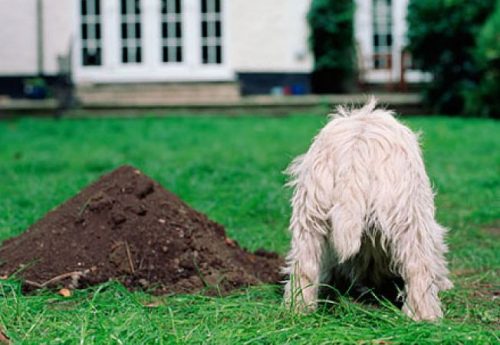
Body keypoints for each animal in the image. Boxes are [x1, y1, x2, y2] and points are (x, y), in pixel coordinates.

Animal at [286, 99, 454, 320]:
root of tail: (356, 148)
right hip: (408, 219)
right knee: (418, 267)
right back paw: (423, 316)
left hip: (310, 217)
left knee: (304, 266)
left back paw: (299, 308)